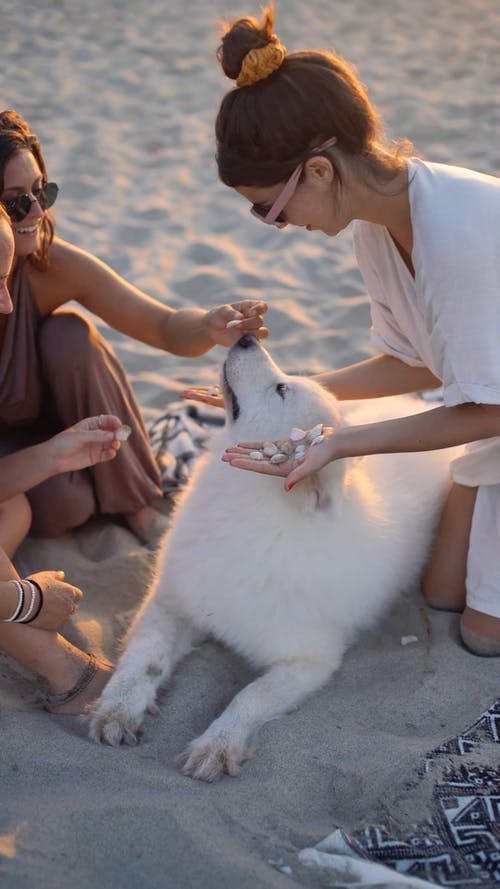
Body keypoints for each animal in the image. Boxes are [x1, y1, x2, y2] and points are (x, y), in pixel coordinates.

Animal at [89, 336, 454, 780]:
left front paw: (217, 745)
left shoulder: (309, 661)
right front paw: (116, 710)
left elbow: (250, 696)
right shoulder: (170, 604)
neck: (247, 509)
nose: (247, 338)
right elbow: (144, 660)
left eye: (282, 389)